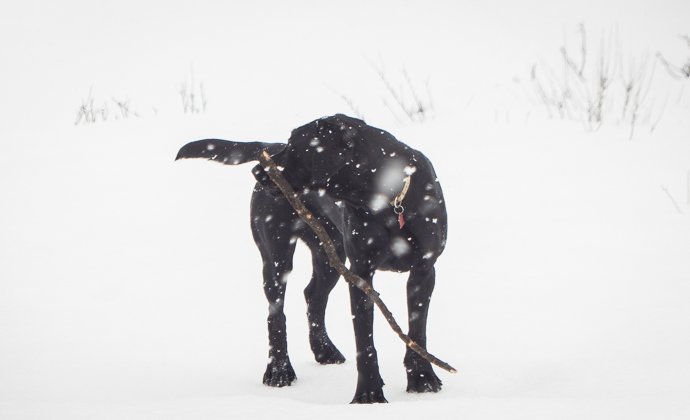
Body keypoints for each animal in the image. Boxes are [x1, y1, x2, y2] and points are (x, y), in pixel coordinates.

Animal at [176, 114, 447, 403]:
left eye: (296, 146)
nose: (258, 170)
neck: (387, 198)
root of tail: (270, 146)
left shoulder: (424, 269)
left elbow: (417, 331)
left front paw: (422, 379)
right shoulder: (361, 274)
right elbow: (365, 342)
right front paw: (369, 395)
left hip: (331, 255)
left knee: (313, 296)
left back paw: (324, 350)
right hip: (277, 254)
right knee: (276, 313)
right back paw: (279, 371)